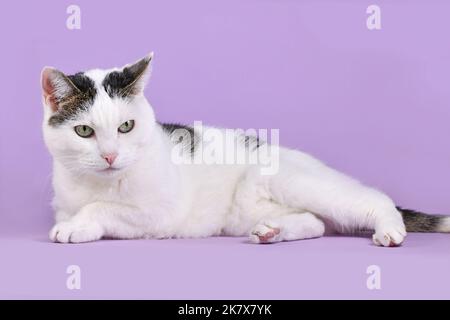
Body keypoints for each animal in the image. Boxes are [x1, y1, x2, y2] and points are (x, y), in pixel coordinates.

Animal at [40, 53, 448, 246]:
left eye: (126, 126)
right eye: (84, 131)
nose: (110, 156)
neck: (98, 183)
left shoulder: (160, 212)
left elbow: (104, 207)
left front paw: (81, 222)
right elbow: (84, 212)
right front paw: (76, 226)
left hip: (299, 183)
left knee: (374, 199)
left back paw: (389, 230)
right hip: (251, 210)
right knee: (317, 223)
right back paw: (272, 231)